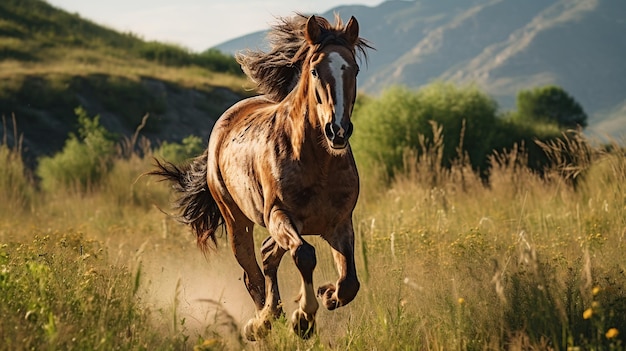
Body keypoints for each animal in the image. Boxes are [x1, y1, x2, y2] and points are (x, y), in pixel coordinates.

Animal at [148, 13, 368, 340]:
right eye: (315, 70)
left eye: (353, 68)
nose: (337, 131)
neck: (317, 163)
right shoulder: (279, 214)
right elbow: (305, 254)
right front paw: (303, 319)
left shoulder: (339, 223)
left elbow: (350, 281)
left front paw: (328, 294)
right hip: (236, 220)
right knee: (251, 271)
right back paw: (261, 322)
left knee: (267, 255)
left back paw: (272, 314)